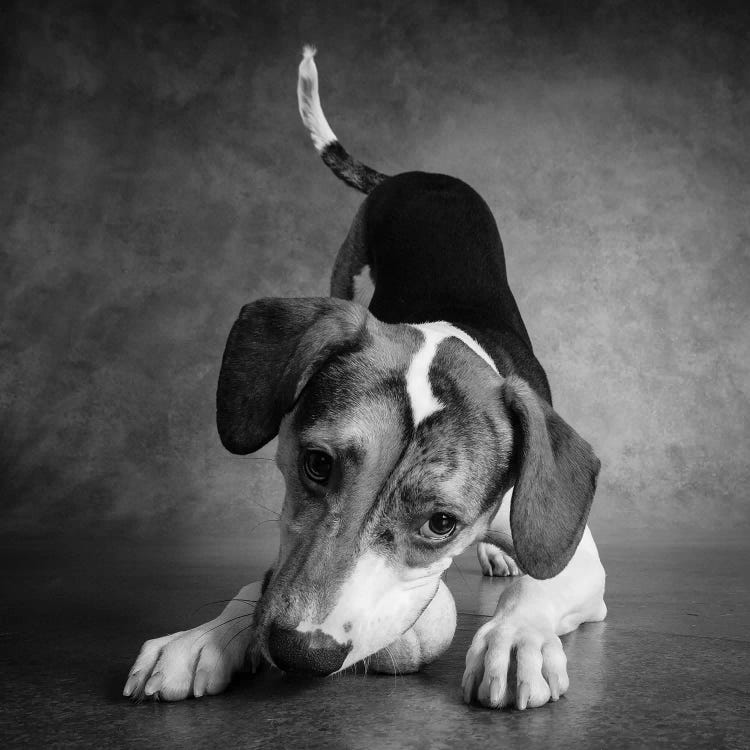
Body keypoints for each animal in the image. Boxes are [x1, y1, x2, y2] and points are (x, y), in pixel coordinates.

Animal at [122, 47, 604, 712]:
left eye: (440, 523)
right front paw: (204, 637)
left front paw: (514, 639)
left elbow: (539, 586)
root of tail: (417, 174)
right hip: (345, 268)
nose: (301, 651)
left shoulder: (580, 561)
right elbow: (261, 579)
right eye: (316, 464)